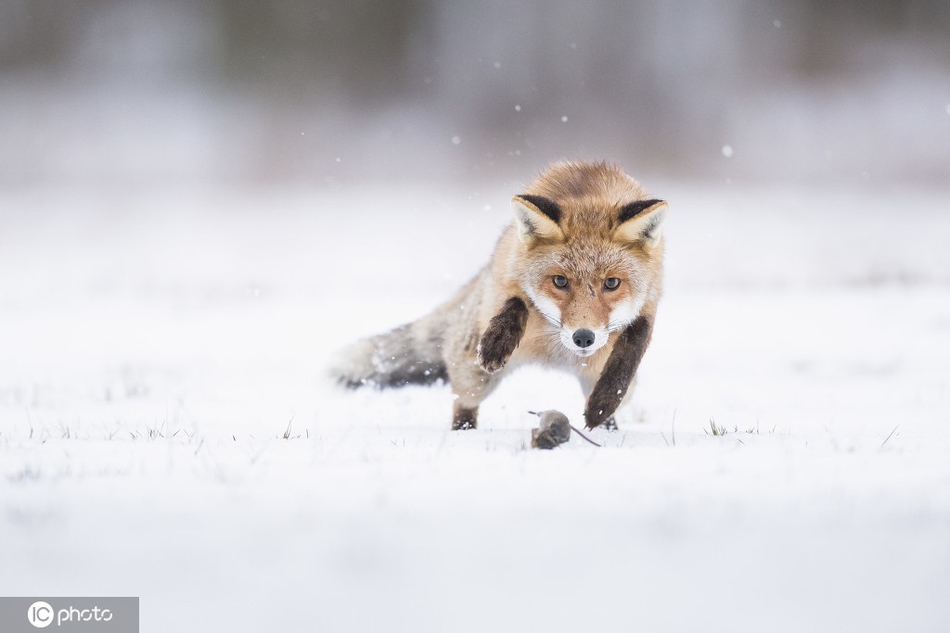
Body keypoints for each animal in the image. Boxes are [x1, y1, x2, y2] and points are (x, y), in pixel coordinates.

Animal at [334, 160, 668, 432]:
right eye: (560, 281)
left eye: (612, 283)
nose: (583, 338)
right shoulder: (508, 278)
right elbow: (515, 302)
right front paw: (497, 342)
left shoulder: (650, 302)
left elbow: (630, 353)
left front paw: (603, 403)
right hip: (473, 377)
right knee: (463, 403)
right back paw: (464, 433)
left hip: (596, 378)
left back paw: (607, 428)